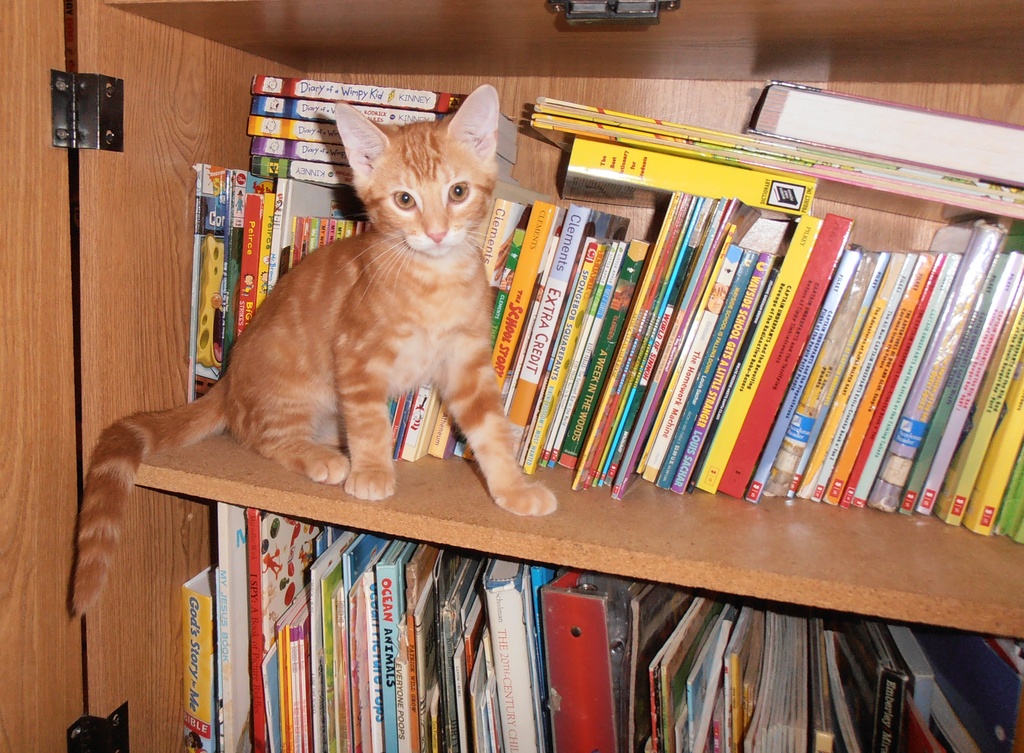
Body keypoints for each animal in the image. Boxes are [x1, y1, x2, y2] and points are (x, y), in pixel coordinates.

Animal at [73, 87, 557, 618]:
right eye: (404, 200)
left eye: (458, 192)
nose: (434, 233)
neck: (433, 280)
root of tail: (227, 383)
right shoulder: (356, 354)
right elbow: (369, 423)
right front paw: (372, 470)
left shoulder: (466, 359)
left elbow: (488, 428)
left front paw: (512, 488)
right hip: (293, 388)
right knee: (262, 436)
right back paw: (322, 456)